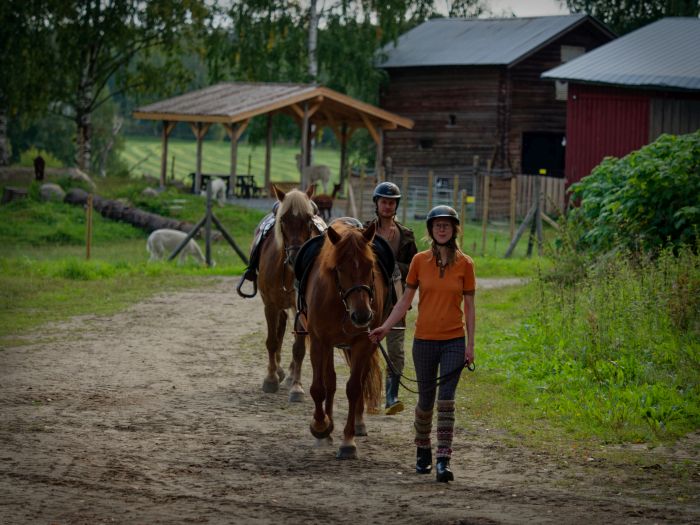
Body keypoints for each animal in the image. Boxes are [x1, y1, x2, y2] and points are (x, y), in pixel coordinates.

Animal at [258, 185, 322, 402]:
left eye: (309, 219)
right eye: (283, 220)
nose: (296, 257)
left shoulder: (301, 308)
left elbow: (299, 348)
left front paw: (297, 387)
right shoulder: (270, 305)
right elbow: (271, 341)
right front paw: (270, 379)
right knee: (280, 328)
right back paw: (278, 371)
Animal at [304, 219, 386, 456]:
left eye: (370, 266)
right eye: (339, 268)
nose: (362, 315)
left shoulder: (363, 343)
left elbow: (354, 388)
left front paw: (348, 441)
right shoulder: (319, 341)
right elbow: (319, 387)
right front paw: (320, 426)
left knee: (359, 379)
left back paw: (358, 423)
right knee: (329, 381)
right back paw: (327, 428)